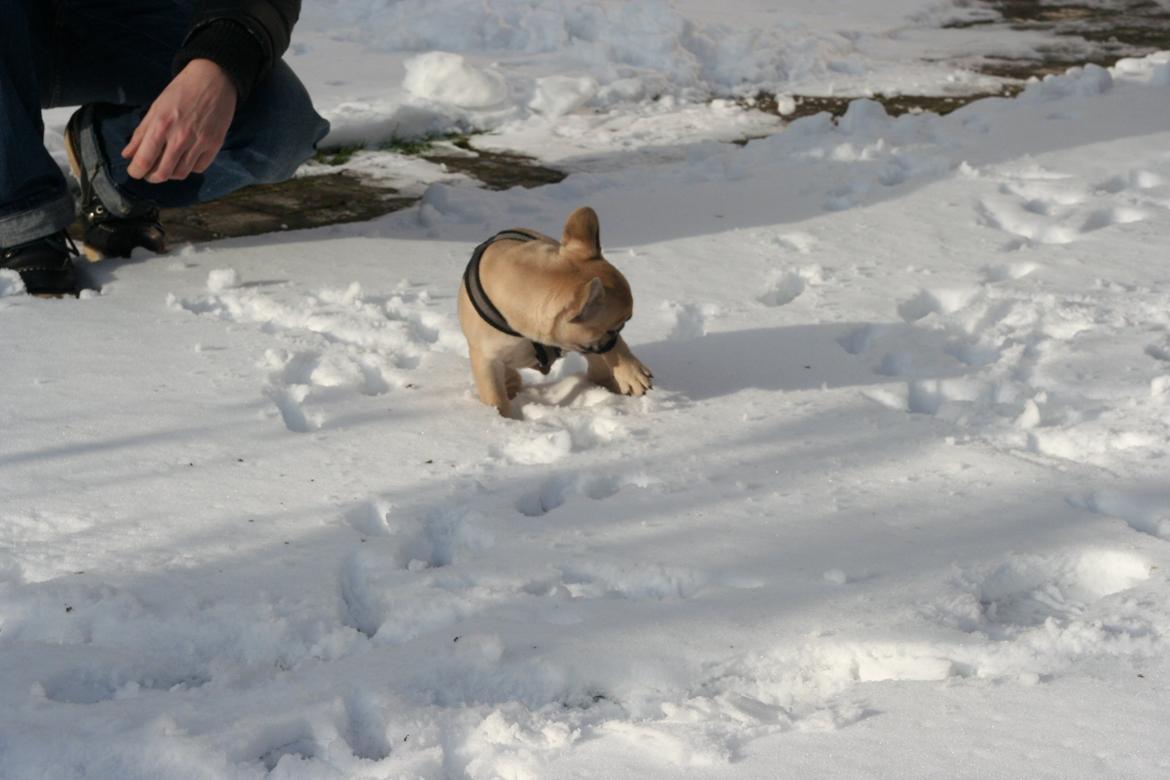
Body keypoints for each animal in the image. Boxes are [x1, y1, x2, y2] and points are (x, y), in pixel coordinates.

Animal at [456, 204, 655, 418]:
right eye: (614, 327)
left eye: (620, 327)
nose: (616, 333)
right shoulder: (486, 361)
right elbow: (495, 397)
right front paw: (502, 419)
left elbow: (616, 349)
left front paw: (631, 371)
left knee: (597, 369)